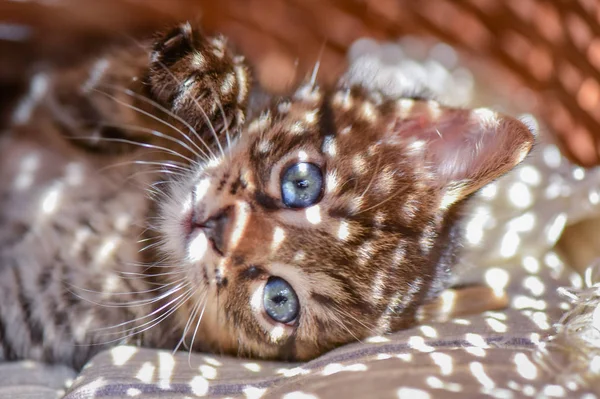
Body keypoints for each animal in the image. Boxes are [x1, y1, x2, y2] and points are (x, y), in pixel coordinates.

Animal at [0, 23, 536, 370]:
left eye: (280, 300)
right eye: (302, 184)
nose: (216, 227)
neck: (138, 224)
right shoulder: (47, 95)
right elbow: (101, 83)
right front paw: (211, 75)